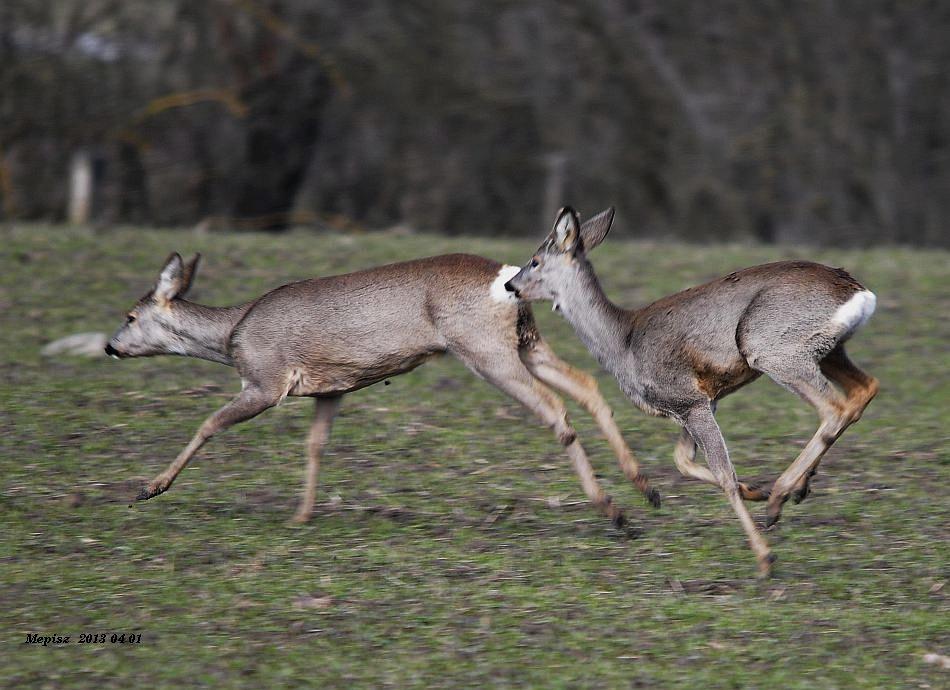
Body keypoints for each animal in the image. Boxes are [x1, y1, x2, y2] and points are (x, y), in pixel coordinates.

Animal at [106, 250, 660, 524]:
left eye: (130, 315)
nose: (110, 347)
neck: (231, 336)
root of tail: (506, 277)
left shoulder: (265, 380)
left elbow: (208, 424)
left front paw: (150, 487)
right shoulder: (331, 387)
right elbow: (316, 445)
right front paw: (301, 515)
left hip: (483, 349)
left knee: (553, 407)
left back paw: (610, 507)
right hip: (526, 342)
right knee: (587, 387)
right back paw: (644, 489)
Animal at [510, 206, 880, 576]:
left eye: (535, 260)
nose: (509, 285)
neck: (623, 344)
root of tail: (857, 291)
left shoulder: (688, 399)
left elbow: (722, 473)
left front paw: (765, 557)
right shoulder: (700, 402)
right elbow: (682, 462)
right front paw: (754, 491)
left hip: (771, 347)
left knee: (834, 407)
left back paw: (778, 500)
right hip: (828, 351)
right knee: (865, 389)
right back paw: (792, 490)